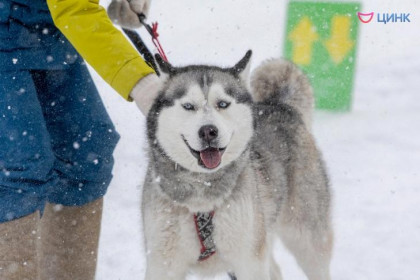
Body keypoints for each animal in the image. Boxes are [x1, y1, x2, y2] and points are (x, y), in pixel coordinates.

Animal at [143, 50, 334, 280]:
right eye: (188, 106)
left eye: (223, 104)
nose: (208, 131)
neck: (203, 190)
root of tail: (281, 106)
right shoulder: (163, 263)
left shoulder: (249, 260)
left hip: (306, 237)